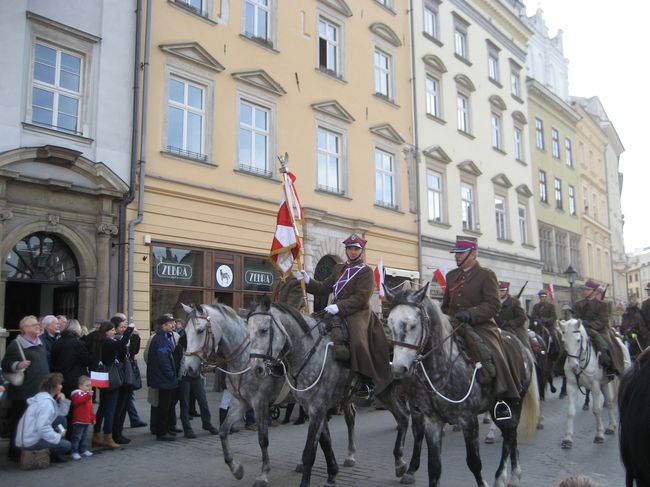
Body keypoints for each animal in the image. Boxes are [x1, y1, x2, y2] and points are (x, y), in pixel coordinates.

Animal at [181, 304, 284, 487]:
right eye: (185, 332)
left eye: (200, 330)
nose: (189, 369)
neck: (247, 358)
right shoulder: (240, 402)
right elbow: (223, 431)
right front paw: (236, 469)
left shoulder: (260, 403)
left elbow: (262, 439)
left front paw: (263, 474)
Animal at [247, 300, 426, 486]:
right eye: (248, 332)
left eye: (263, 330)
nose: (256, 368)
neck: (310, 351)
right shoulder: (314, 408)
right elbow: (326, 442)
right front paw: (332, 474)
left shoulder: (317, 408)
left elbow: (309, 452)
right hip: (385, 392)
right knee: (403, 417)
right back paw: (400, 462)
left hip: (414, 392)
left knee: (418, 427)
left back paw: (411, 469)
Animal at [384, 284, 536, 487]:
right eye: (389, 324)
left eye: (412, 325)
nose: (398, 369)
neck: (441, 369)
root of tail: (521, 345)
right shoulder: (432, 421)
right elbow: (434, 467)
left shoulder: (468, 420)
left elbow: (474, 463)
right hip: (499, 407)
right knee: (510, 436)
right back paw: (513, 475)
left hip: (515, 402)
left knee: (510, 435)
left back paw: (501, 477)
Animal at [552, 320, 628, 450]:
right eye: (563, 341)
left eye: (578, 340)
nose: (573, 366)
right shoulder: (571, 386)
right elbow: (570, 411)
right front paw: (567, 439)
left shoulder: (594, 386)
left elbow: (596, 410)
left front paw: (599, 435)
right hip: (604, 384)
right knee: (609, 403)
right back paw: (611, 427)